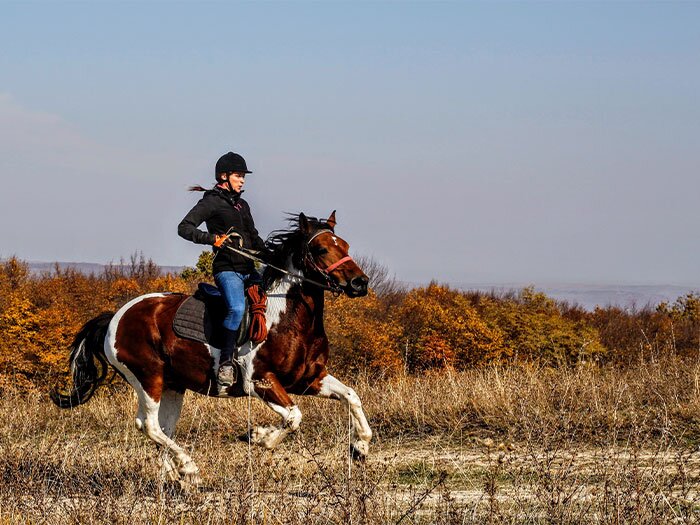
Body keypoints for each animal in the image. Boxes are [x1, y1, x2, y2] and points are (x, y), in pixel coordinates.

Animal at [50, 211, 372, 486]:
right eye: (320, 249)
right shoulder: (261, 381)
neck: (286, 316)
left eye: (344, 245)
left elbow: (351, 397)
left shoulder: (309, 379)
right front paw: (259, 436)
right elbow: (294, 417)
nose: (360, 283)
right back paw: (189, 468)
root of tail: (116, 317)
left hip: (173, 385)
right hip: (147, 377)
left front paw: (360, 447)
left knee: (162, 428)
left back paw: (175, 477)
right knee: (149, 425)